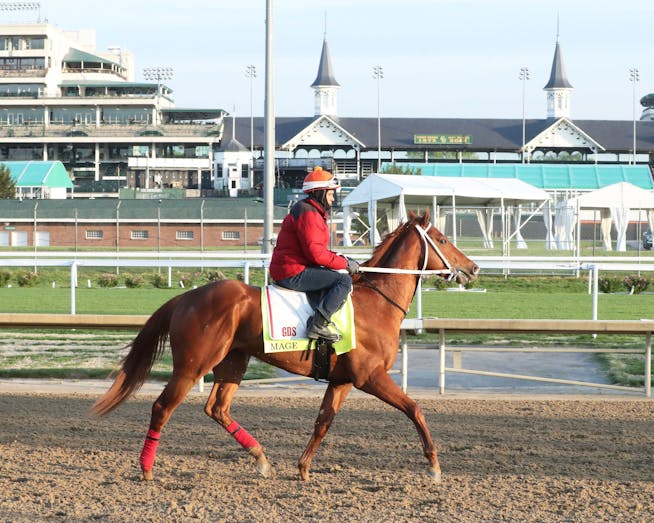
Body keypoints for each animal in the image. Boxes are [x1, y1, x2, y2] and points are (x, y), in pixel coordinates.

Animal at [92, 209, 480, 484]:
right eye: (443, 239)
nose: (473, 268)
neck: (375, 303)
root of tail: (185, 297)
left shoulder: (342, 380)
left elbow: (323, 421)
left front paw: (304, 468)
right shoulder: (370, 377)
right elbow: (415, 409)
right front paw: (434, 467)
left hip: (232, 362)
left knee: (217, 408)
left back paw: (261, 458)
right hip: (192, 364)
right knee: (163, 407)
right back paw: (146, 468)